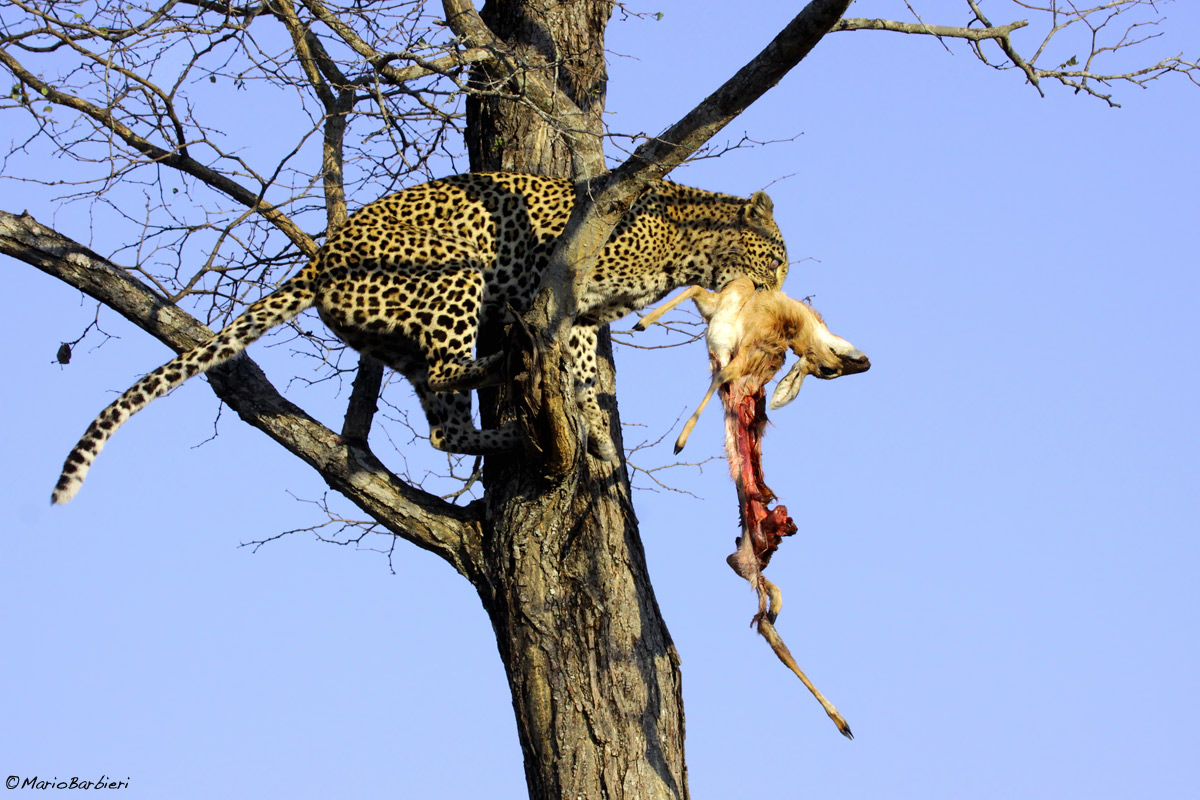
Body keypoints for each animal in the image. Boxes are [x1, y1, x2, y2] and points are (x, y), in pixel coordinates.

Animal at [52, 171, 790, 504]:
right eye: (777, 255)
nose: (787, 280)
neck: (683, 249)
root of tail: (322, 257)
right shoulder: (548, 287)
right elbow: (562, 348)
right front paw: (589, 425)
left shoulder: (581, 318)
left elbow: (583, 375)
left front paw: (598, 435)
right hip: (454, 274)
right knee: (446, 373)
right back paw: (499, 371)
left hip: (397, 340)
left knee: (441, 427)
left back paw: (508, 432)